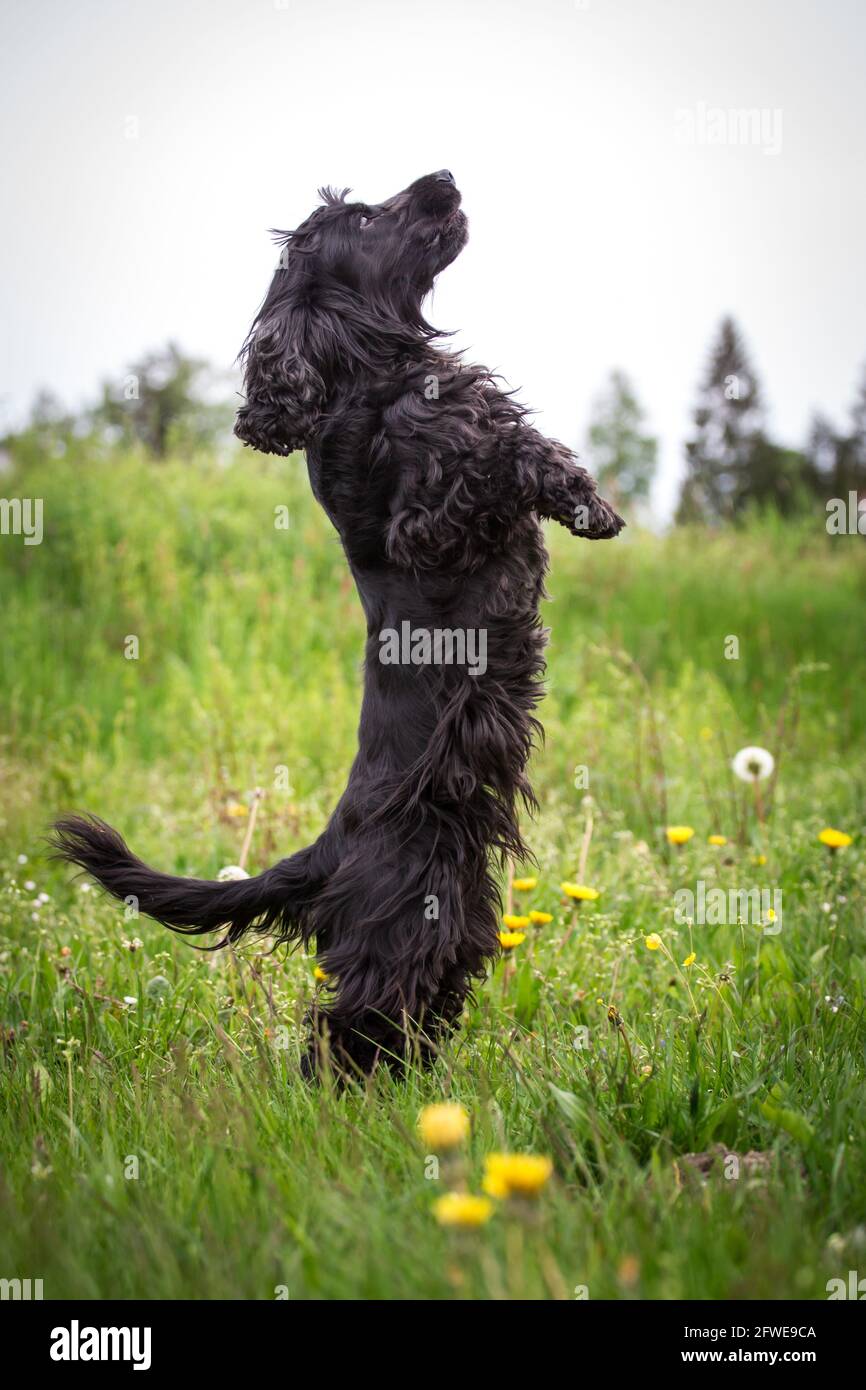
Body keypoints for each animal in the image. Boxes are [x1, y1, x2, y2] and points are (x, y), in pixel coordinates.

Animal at [54, 173, 622, 1073]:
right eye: (359, 217)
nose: (445, 178)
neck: (373, 374)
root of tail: (327, 850)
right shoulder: (425, 522)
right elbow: (495, 452)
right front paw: (567, 490)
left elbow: (515, 436)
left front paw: (589, 499)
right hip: (399, 927)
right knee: (340, 1033)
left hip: (454, 924)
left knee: (407, 1020)